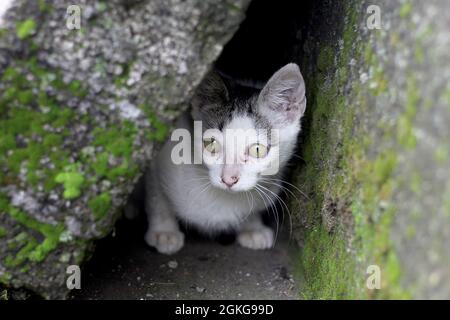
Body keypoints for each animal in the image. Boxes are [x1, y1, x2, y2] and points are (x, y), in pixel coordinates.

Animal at [143, 63, 306, 255]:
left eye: (257, 150)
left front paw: (252, 227)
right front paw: (164, 231)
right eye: (211, 144)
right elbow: (156, 196)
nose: (228, 178)